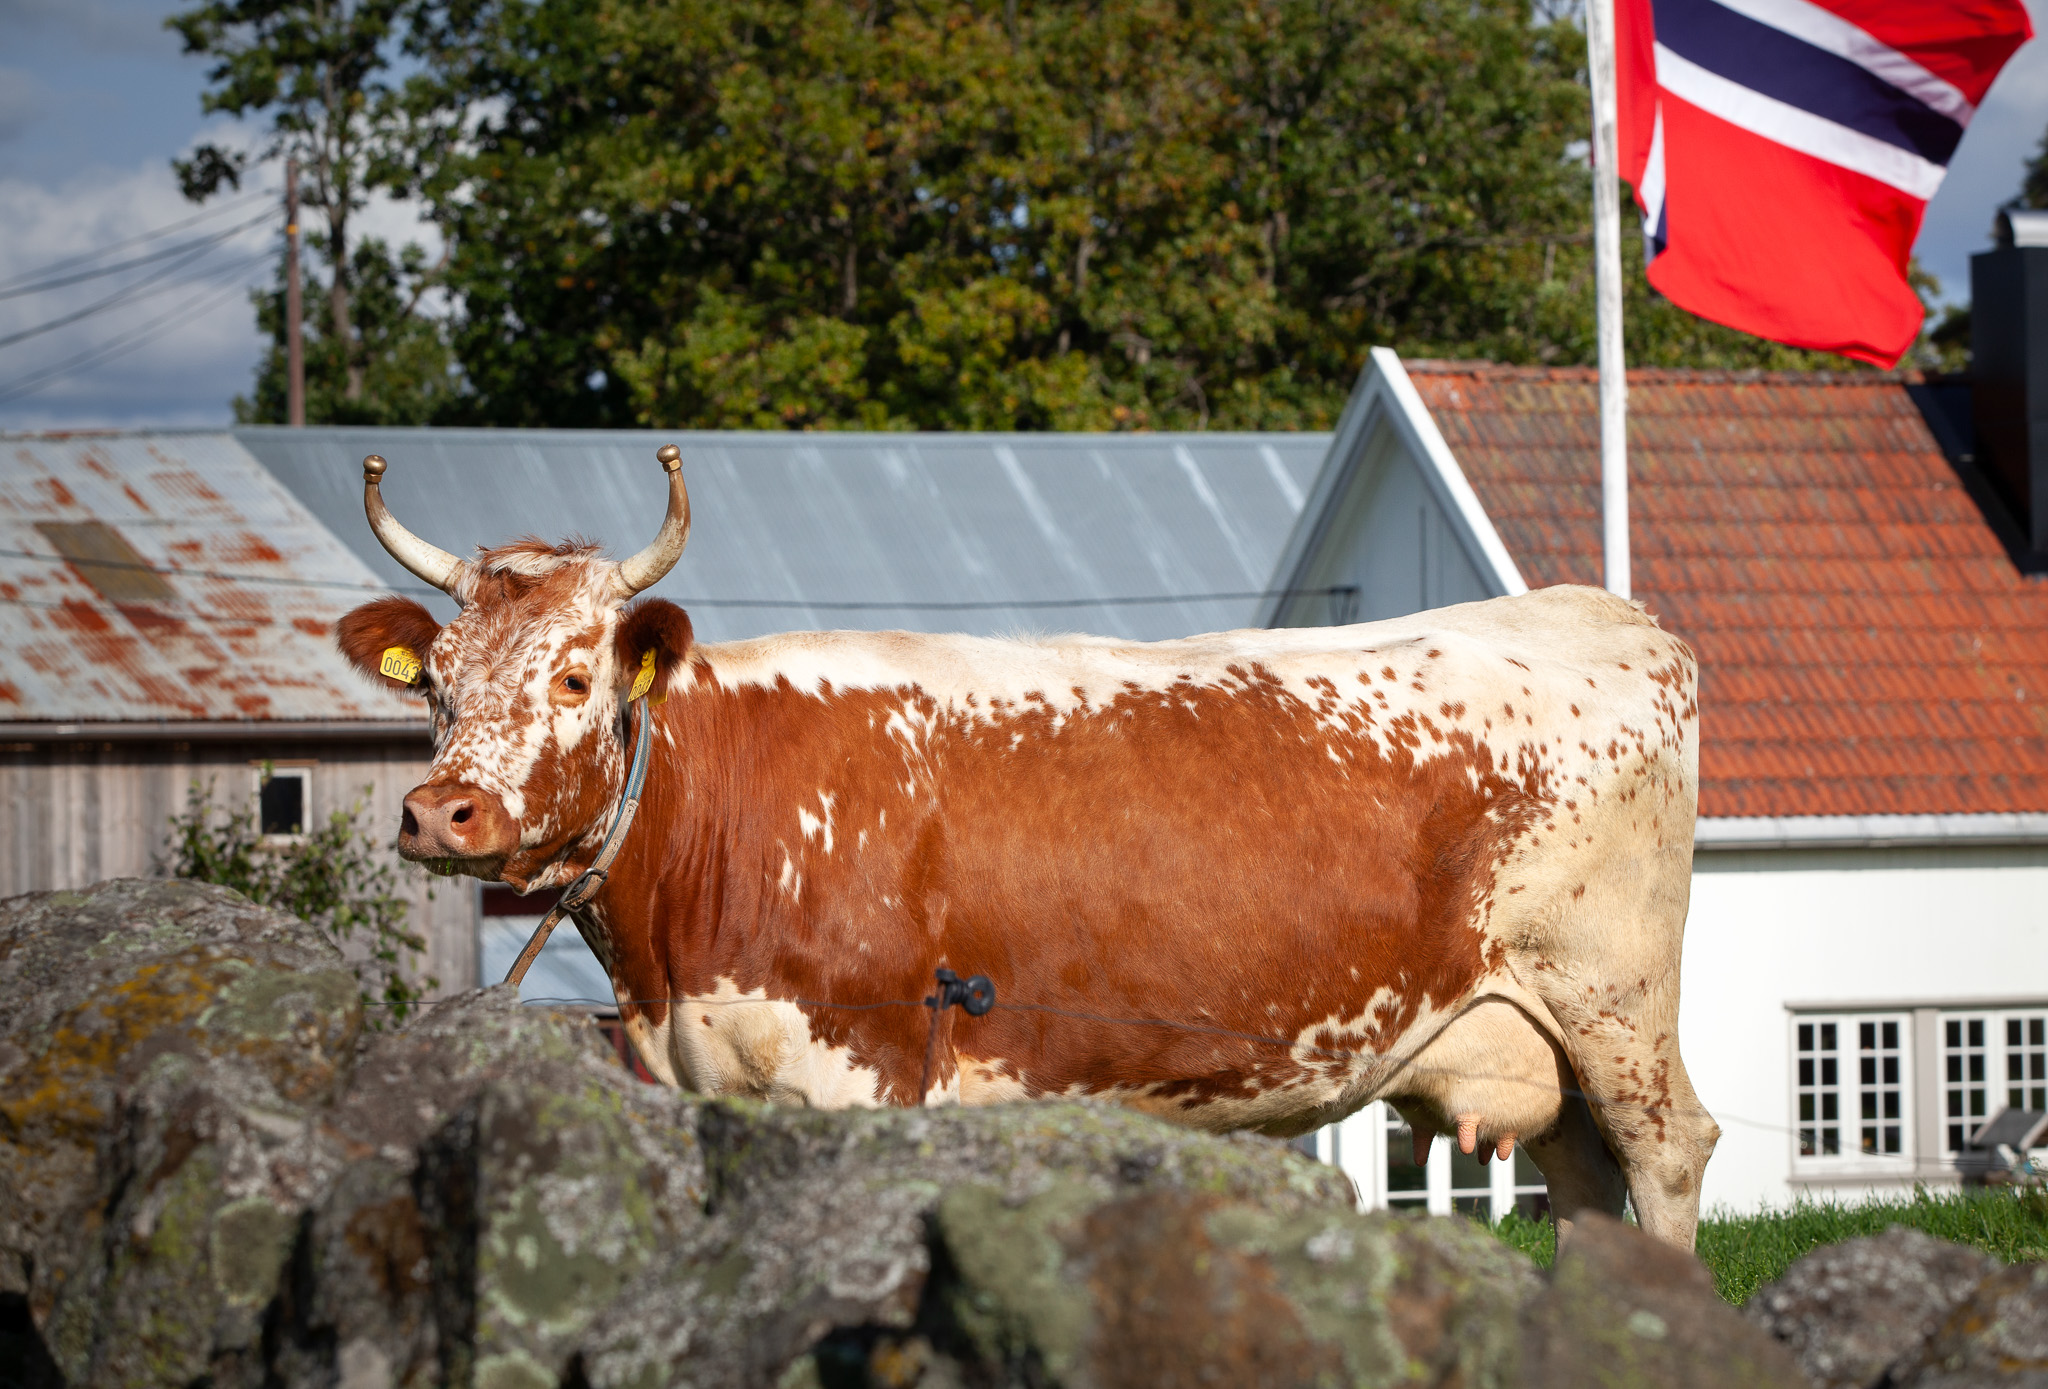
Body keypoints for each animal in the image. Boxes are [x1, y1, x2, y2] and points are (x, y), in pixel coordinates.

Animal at [336, 448, 1719, 1248]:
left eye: (574, 678)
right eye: (435, 683)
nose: (441, 812)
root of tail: (1591, 611)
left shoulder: (862, 1078)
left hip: (1610, 1001)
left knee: (1665, 1153)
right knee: (1584, 1187)